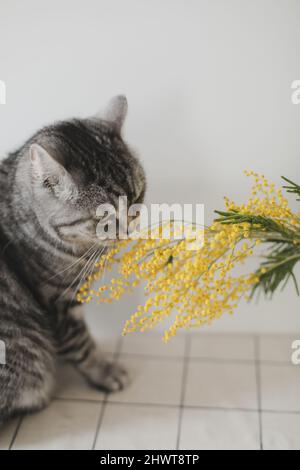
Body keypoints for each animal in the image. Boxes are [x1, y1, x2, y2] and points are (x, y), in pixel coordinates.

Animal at [0, 95, 146, 422]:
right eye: (104, 217)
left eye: (138, 197)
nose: (129, 229)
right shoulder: (58, 303)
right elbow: (81, 345)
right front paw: (104, 371)